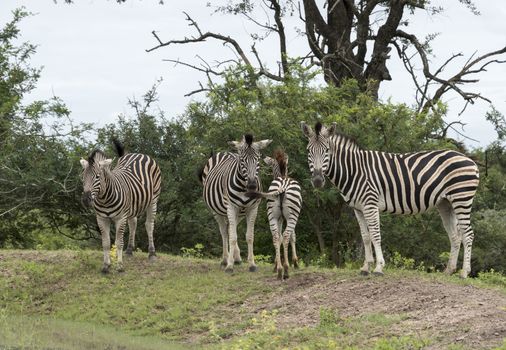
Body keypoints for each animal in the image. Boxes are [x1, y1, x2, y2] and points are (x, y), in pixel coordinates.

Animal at [80, 140, 161, 274]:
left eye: (97, 176)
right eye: (82, 177)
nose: (86, 200)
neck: (105, 199)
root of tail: (137, 153)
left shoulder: (121, 218)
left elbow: (118, 242)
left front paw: (120, 266)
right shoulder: (101, 219)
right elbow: (106, 243)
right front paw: (106, 266)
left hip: (153, 200)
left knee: (149, 225)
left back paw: (152, 253)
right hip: (133, 206)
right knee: (133, 223)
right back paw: (129, 250)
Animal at [199, 134, 272, 274]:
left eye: (258, 159)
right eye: (242, 160)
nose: (252, 186)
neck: (244, 187)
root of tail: (224, 152)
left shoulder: (252, 208)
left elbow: (249, 236)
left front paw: (252, 264)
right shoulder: (231, 207)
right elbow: (232, 237)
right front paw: (229, 266)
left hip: (240, 212)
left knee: (230, 228)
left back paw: (236, 258)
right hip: (216, 210)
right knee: (224, 231)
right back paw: (225, 260)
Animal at [248, 149, 302, 280]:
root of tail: (282, 186)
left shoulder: (280, 218)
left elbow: (280, 237)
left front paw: (277, 264)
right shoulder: (286, 218)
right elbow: (292, 236)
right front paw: (295, 263)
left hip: (272, 215)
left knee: (276, 237)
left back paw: (279, 270)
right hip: (293, 216)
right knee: (286, 236)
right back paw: (286, 270)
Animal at [302, 121, 480, 278]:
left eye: (326, 151)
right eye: (309, 151)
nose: (317, 180)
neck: (354, 170)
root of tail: (469, 160)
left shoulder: (370, 204)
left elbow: (375, 235)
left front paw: (379, 267)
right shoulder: (358, 208)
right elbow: (365, 237)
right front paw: (366, 267)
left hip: (461, 199)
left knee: (468, 233)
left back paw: (464, 272)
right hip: (445, 203)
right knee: (455, 235)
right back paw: (449, 271)